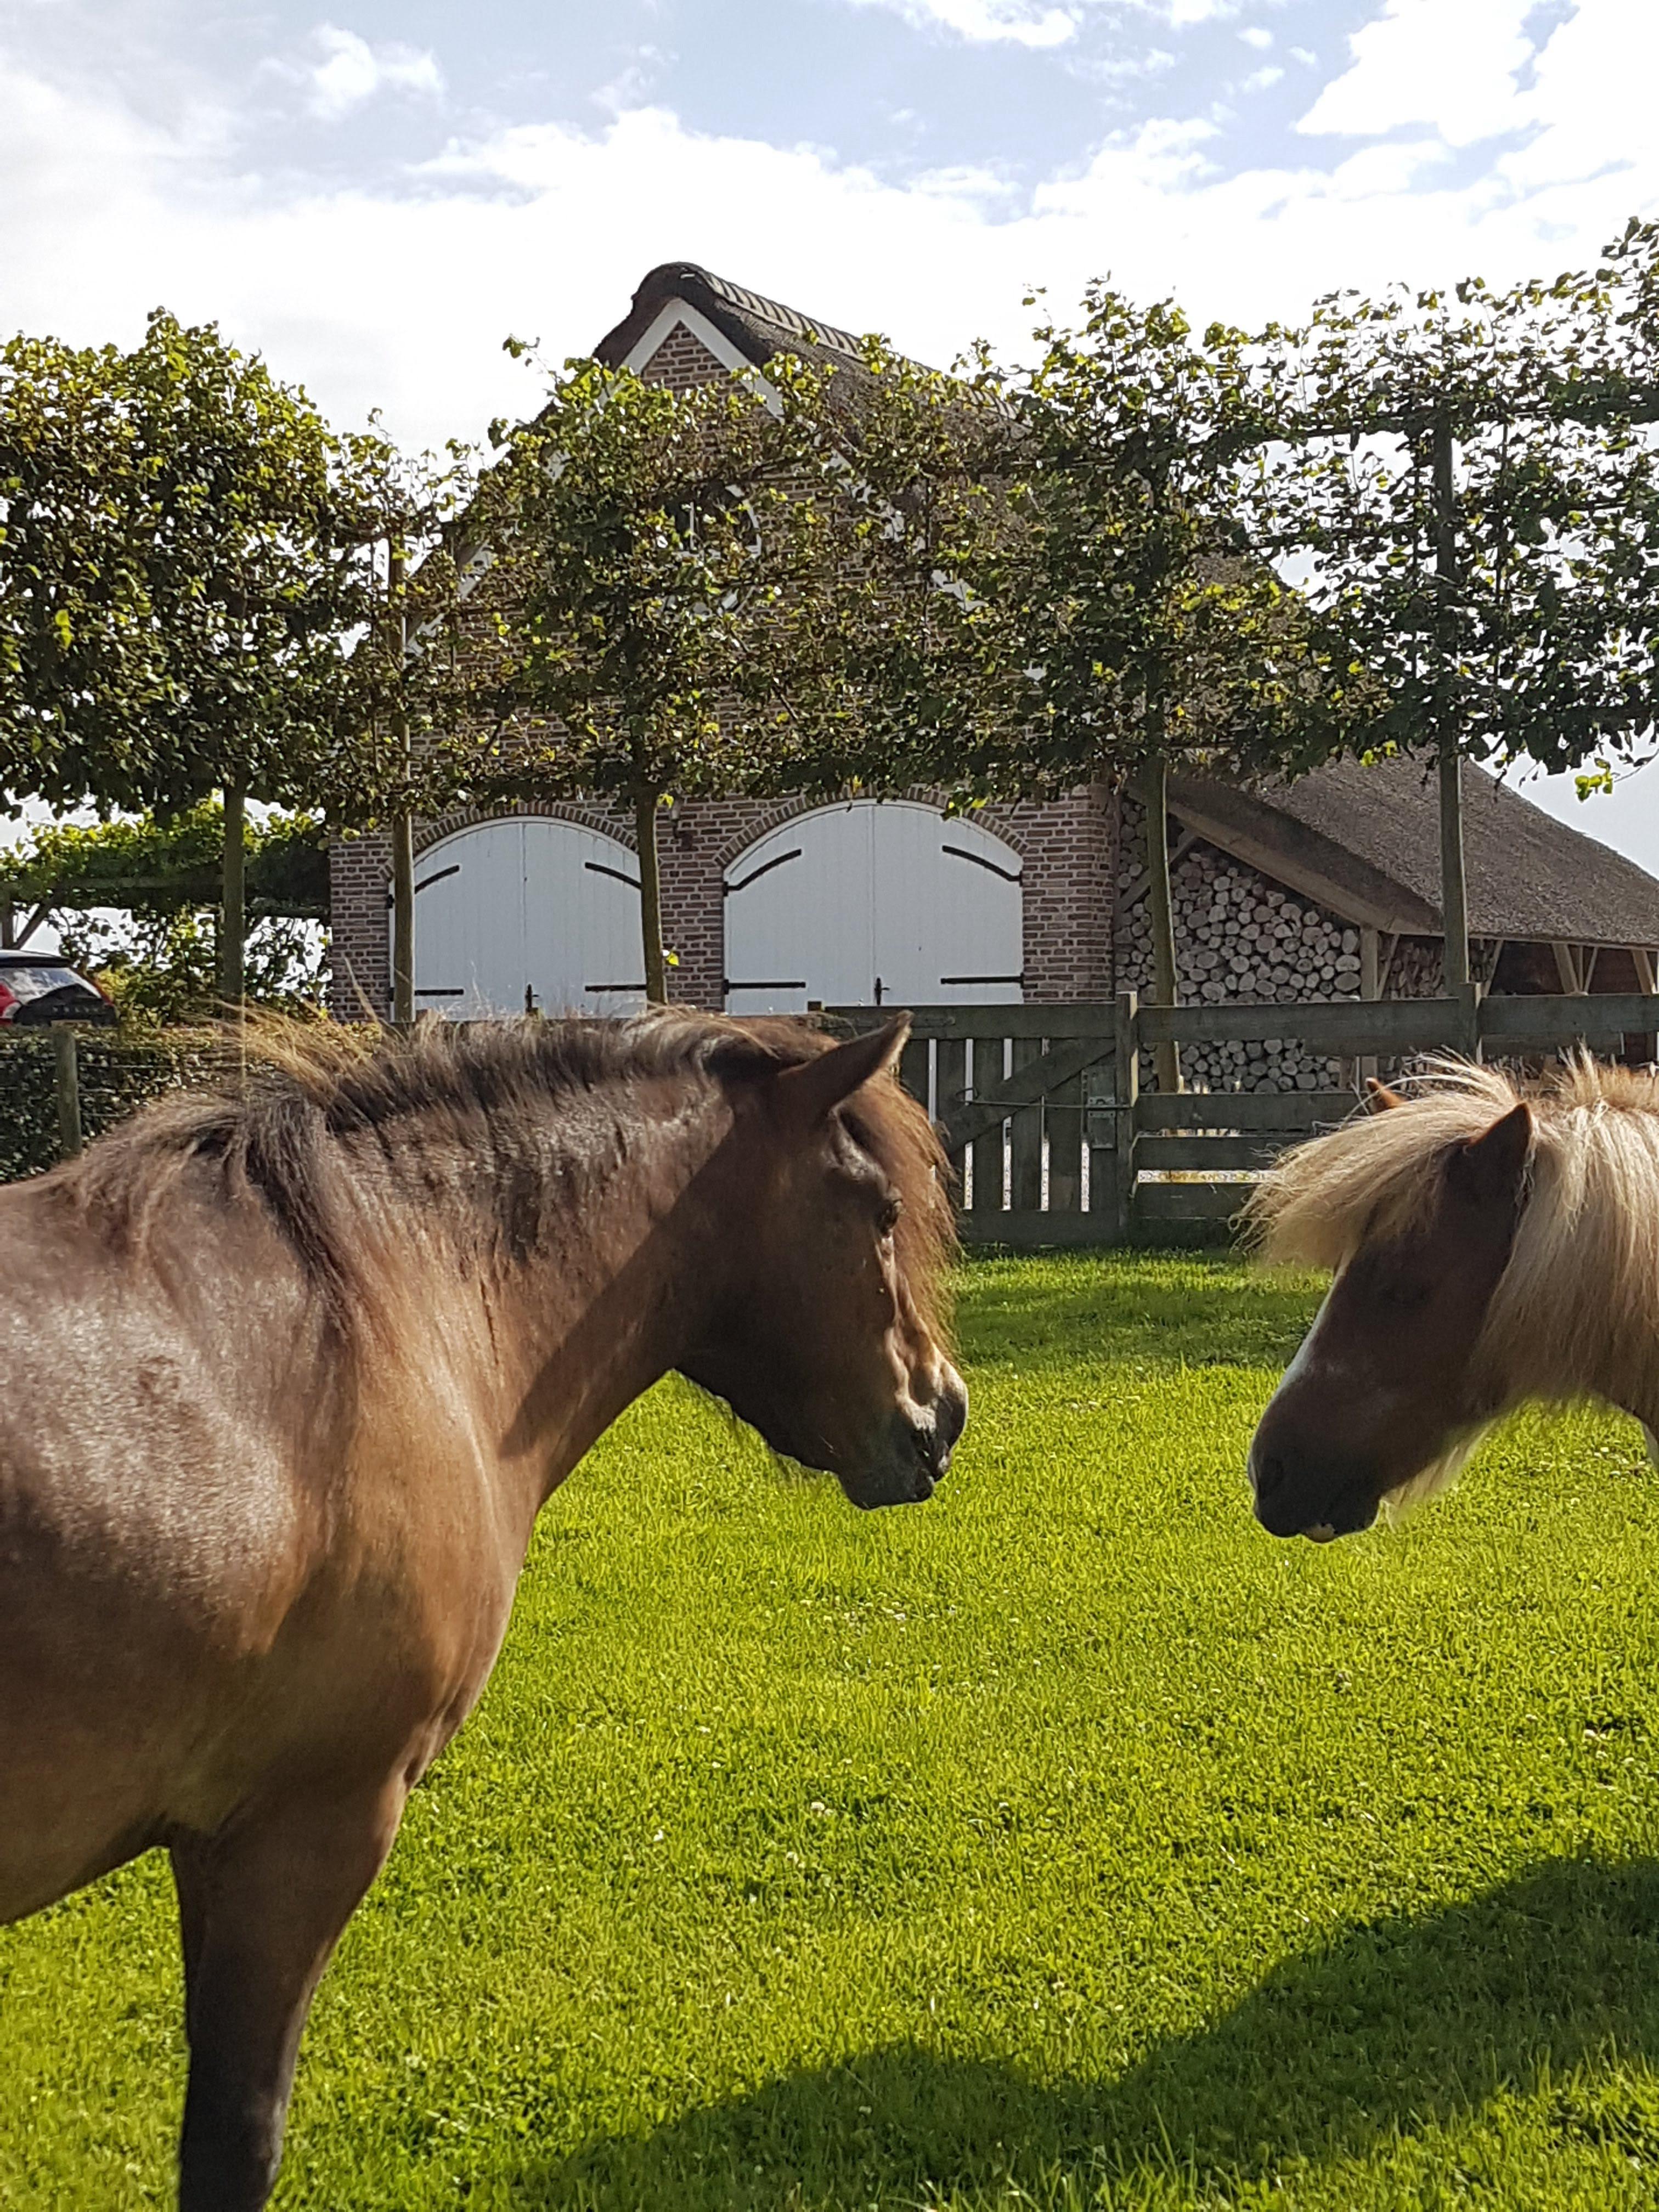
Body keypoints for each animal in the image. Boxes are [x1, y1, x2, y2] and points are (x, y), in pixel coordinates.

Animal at [0, 1008, 966, 2211]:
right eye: (879, 1213)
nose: (943, 1412)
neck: (395, 1296)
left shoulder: (206, 1837)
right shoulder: (307, 1828)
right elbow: (235, 2140)